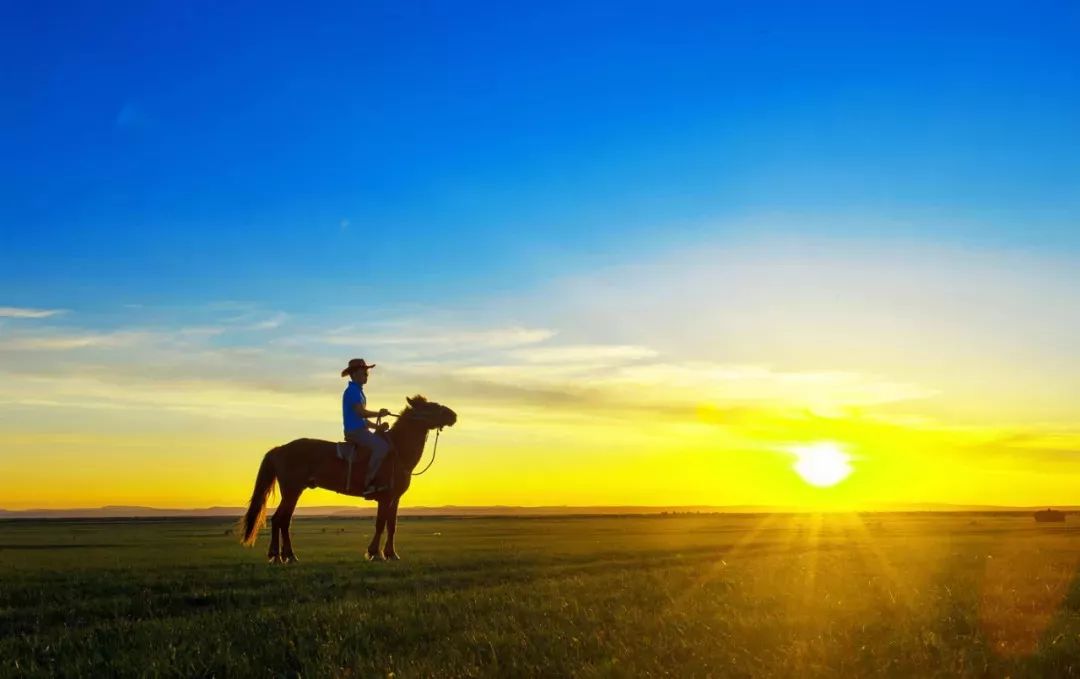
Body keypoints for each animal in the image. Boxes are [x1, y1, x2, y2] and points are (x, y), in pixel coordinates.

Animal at [240, 392, 455, 561]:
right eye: (430, 407)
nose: (453, 415)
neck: (398, 451)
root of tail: (280, 448)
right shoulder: (385, 498)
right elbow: (380, 524)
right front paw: (375, 553)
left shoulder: (395, 498)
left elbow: (392, 525)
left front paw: (391, 554)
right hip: (292, 491)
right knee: (279, 520)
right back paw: (281, 555)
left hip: (293, 492)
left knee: (283, 520)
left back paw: (285, 555)